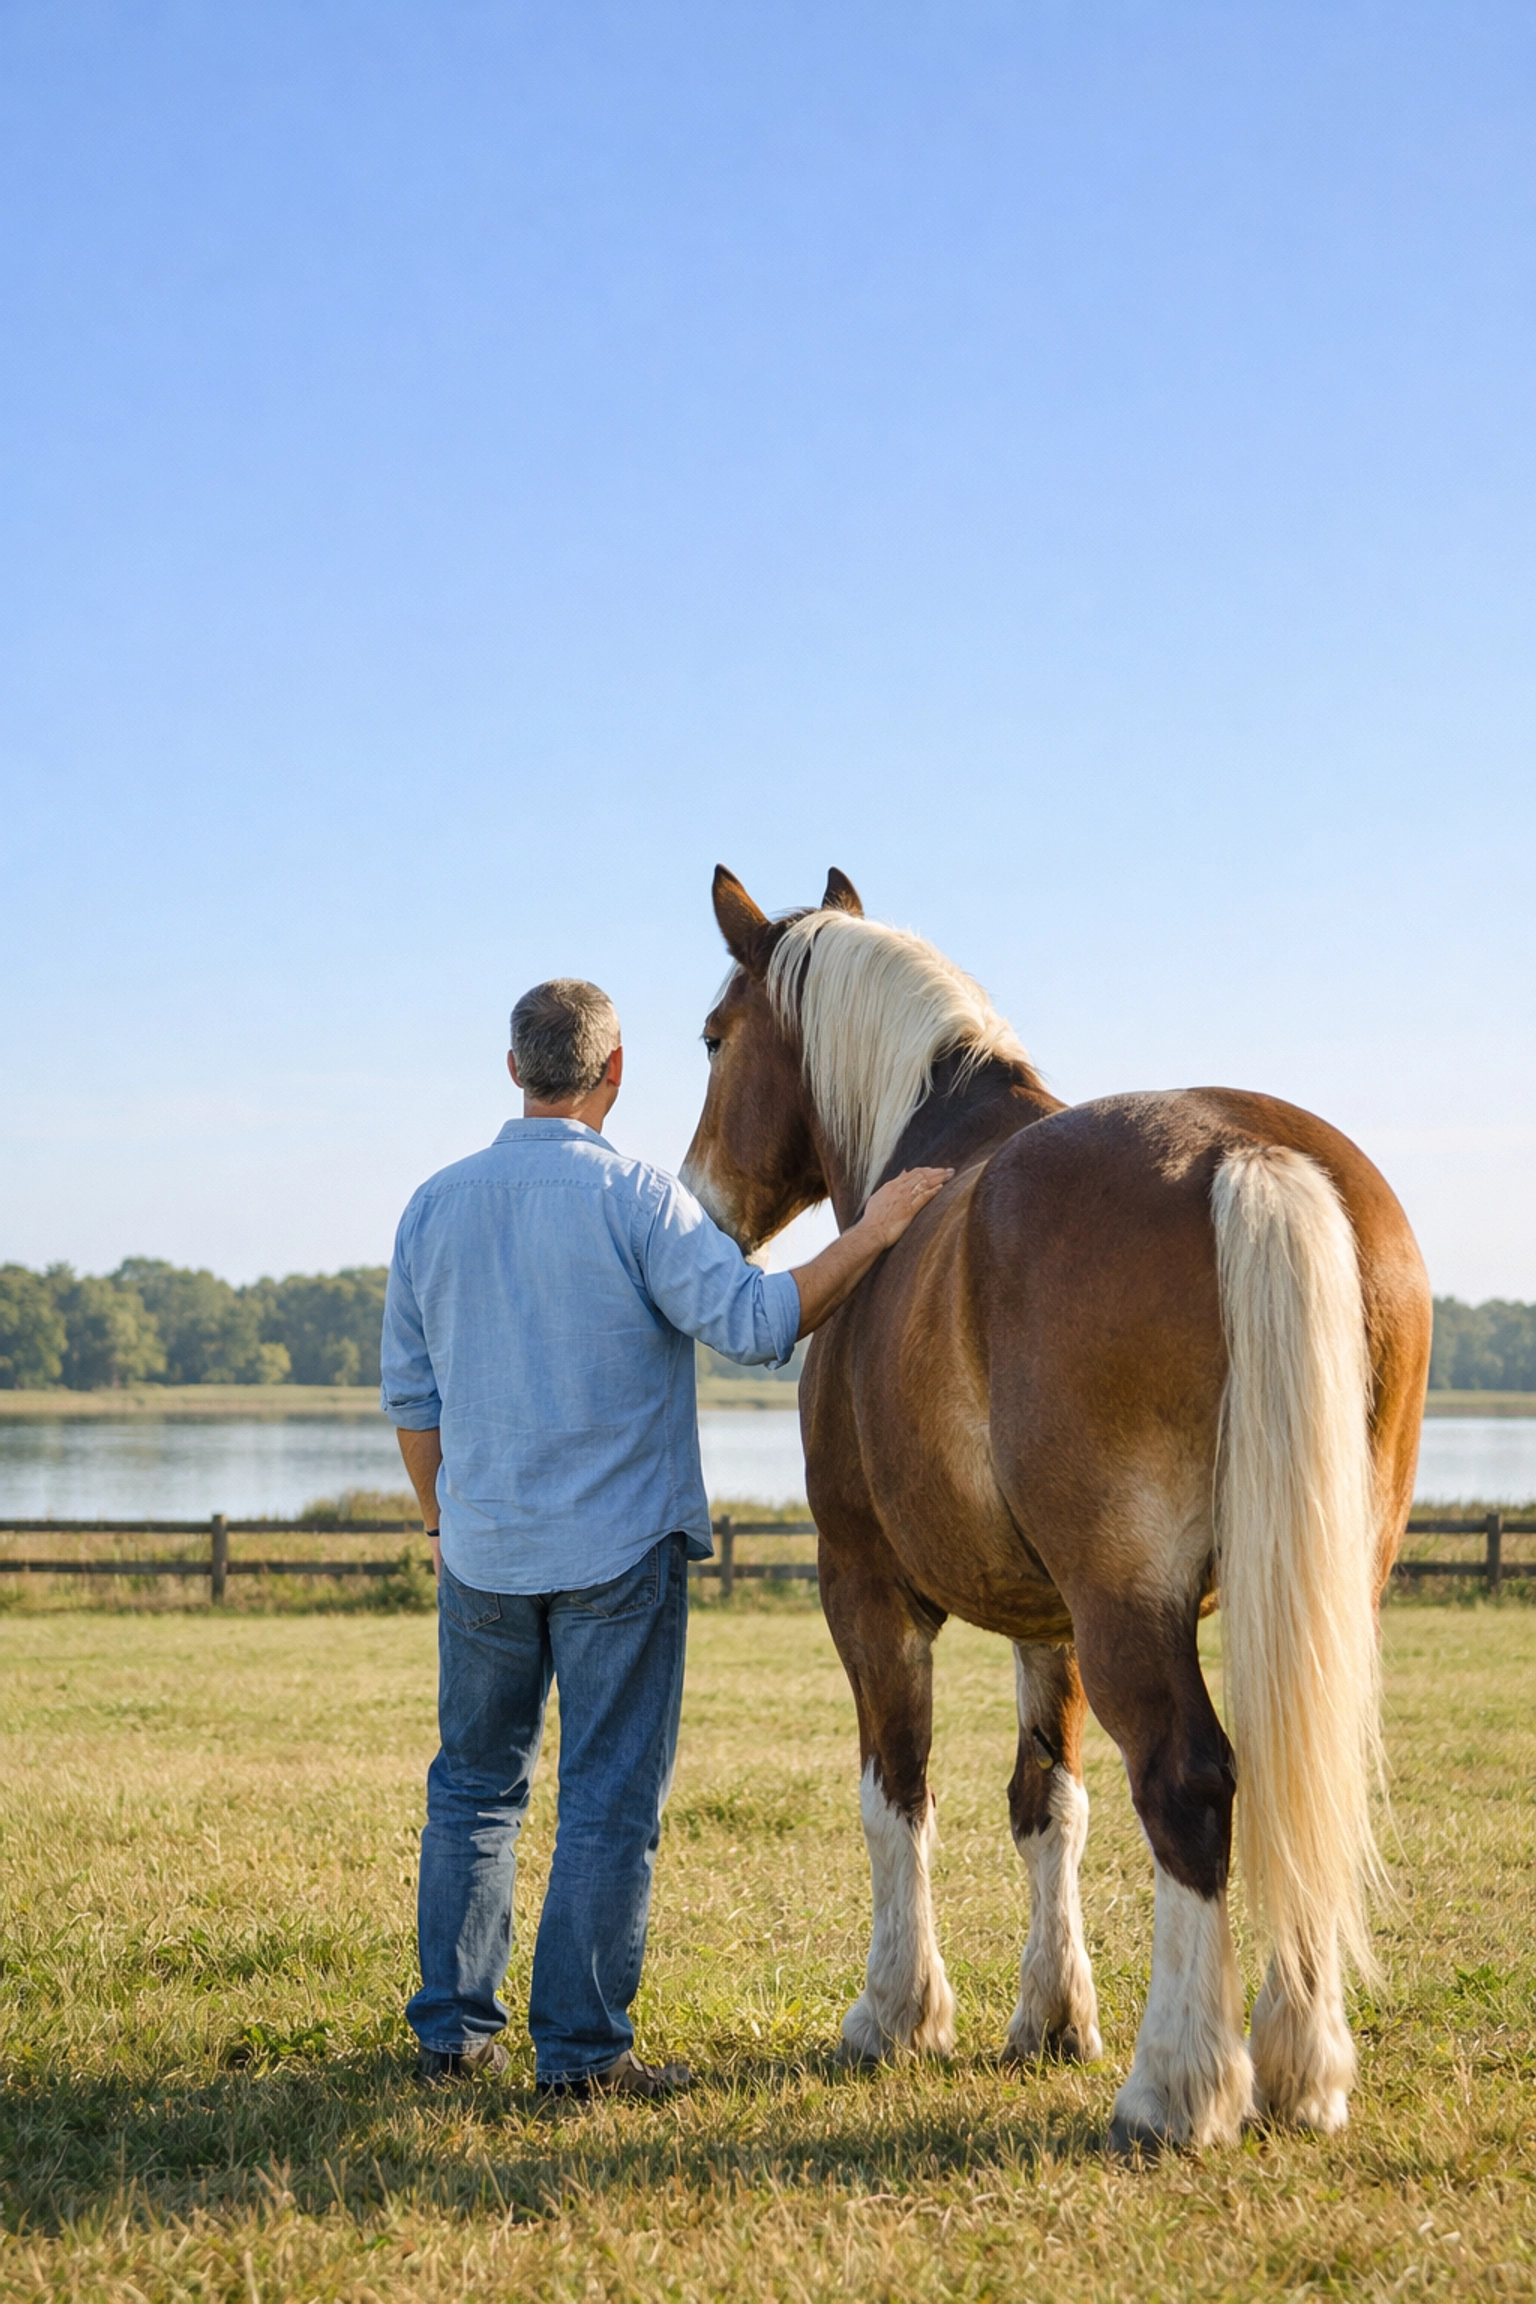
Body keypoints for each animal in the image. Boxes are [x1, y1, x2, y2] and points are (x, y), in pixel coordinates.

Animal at [680, 864, 1430, 2152]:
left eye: (716, 1038)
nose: (694, 1202)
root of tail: (1244, 1154)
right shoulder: (1053, 1623)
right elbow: (1049, 1805)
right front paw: (1051, 2016)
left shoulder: (866, 1587)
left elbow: (896, 1791)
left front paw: (898, 2013)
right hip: (1316, 1587)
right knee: (1293, 1782)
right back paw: (1300, 2068)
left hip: (1129, 1599)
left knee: (1189, 1782)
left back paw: (1177, 2088)